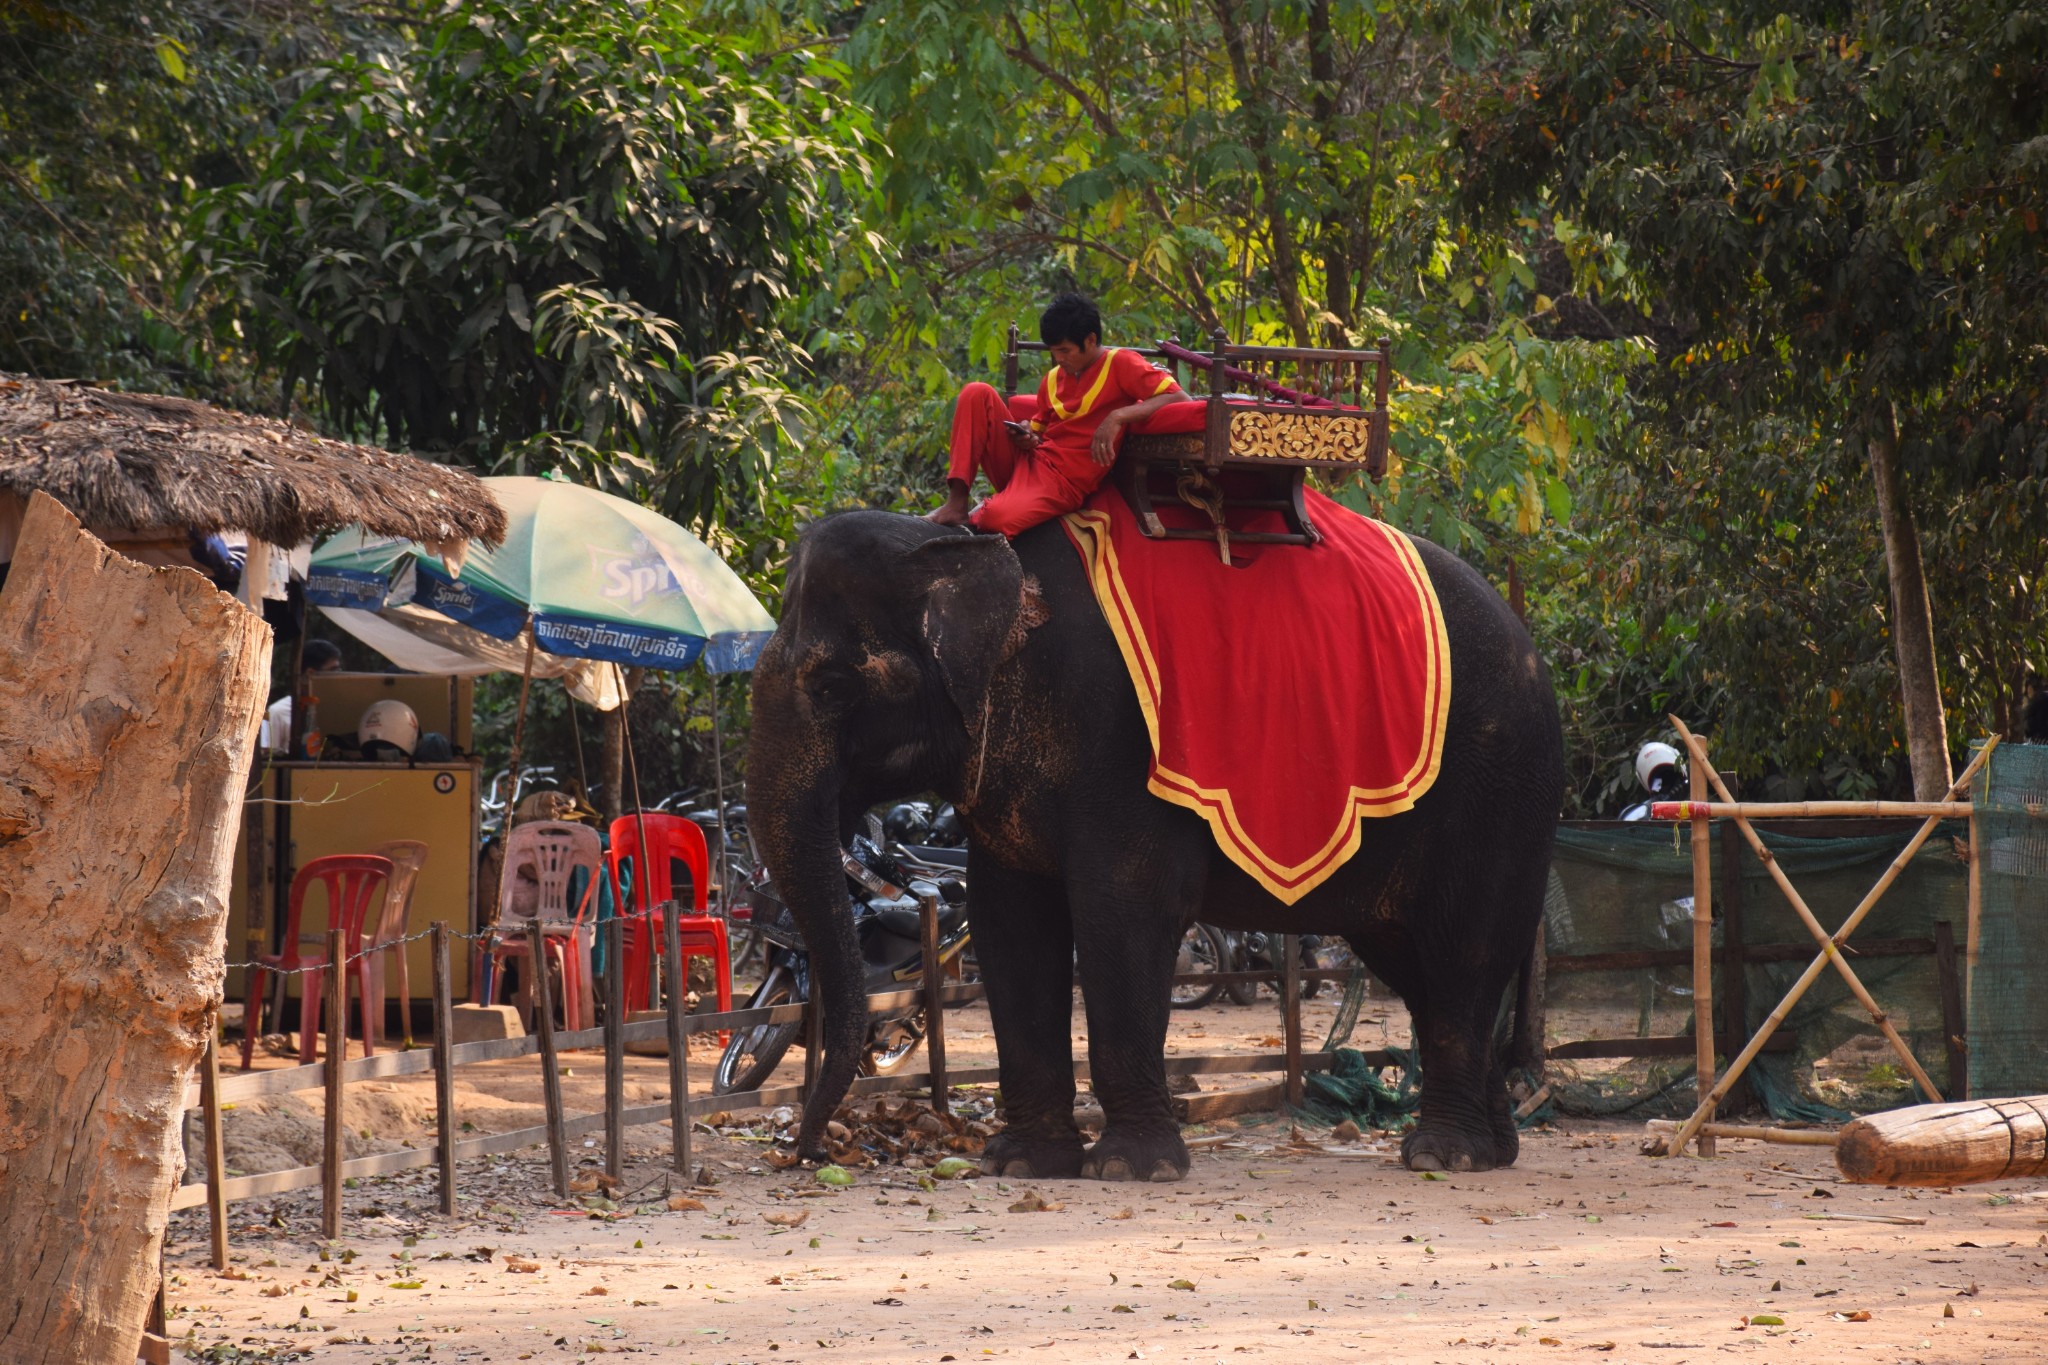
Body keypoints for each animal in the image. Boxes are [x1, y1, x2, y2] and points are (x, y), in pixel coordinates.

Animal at [745, 507, 1556, 1178]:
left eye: (831, 685)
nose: (806, 1153)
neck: (963, 545)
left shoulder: (1120, 744)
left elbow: (1123, 914)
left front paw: (1133, 1169)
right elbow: (1013, 925)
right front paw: (1022, 1164)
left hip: (1499, 790)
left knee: (1462, 954)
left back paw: (1444, 1156)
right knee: (1414, 963)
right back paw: (1495, 1147)